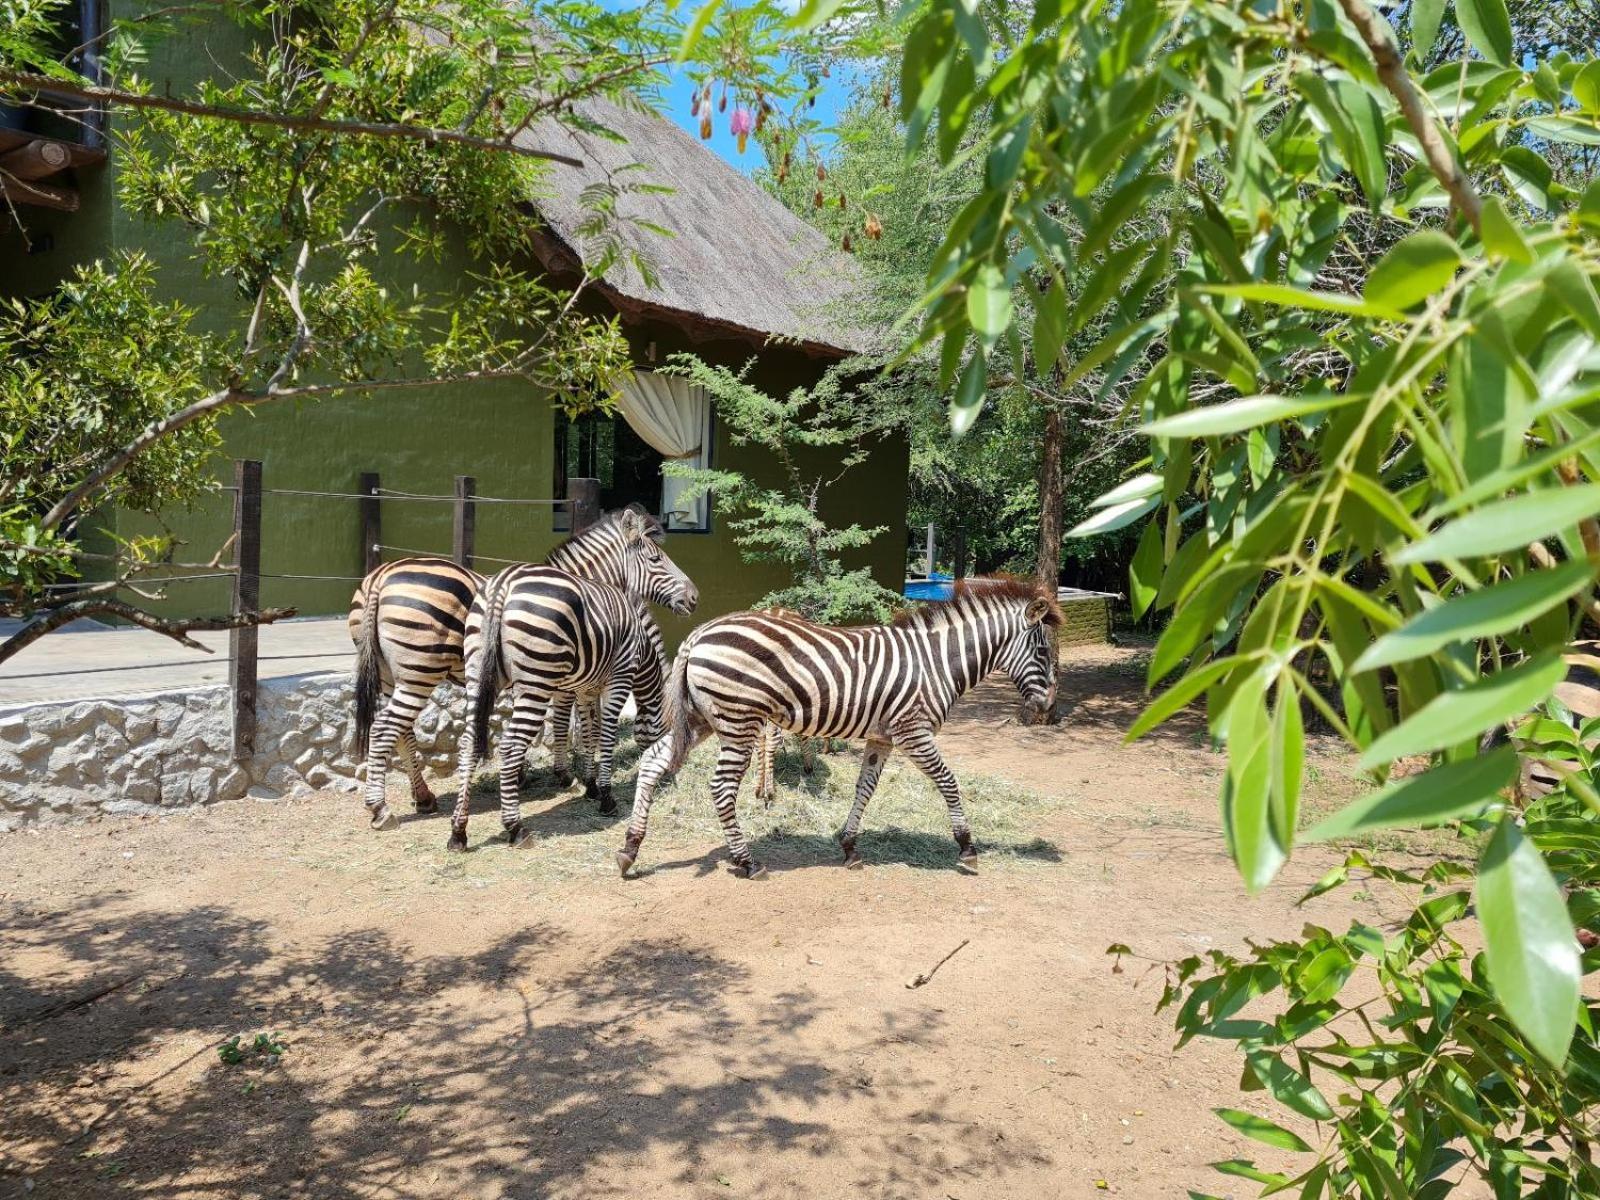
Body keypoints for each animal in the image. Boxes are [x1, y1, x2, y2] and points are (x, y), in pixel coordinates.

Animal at [350, 502, 675, 832]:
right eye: (657, 561)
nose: (691, 598)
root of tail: (381, 575)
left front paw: (523, 776)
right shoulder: (561, 678)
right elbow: (562, 722)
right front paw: (564, 776)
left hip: (391, 675)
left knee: (402, 731)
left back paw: (423, 797)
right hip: (419, 671)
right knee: (389, 728)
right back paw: (382, 808)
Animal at [454, 531, 697, 851]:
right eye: (656, 559)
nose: (694, 598)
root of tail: (502, 584)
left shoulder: (584, 686)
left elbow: (588, 731)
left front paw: (588, 784)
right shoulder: (616, 678)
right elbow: (600, 732)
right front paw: (603, 795)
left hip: (477, 675)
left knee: (468, 742)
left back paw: (458, 831)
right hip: (534, 682)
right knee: (510, 746)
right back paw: (515, 827)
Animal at [614, 582, 1062, 883]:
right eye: (1043, 652)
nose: (1047, 709)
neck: (936, 662)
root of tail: (698, 634)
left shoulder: (882, 737)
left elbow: (865, 788)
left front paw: (849, 847)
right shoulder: (913, 731)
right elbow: (949, 782)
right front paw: (967, 846)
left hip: (704, 719)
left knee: (652, 762)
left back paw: (629, 850)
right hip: (738, 722)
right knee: (721, 787)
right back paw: (747, 862)